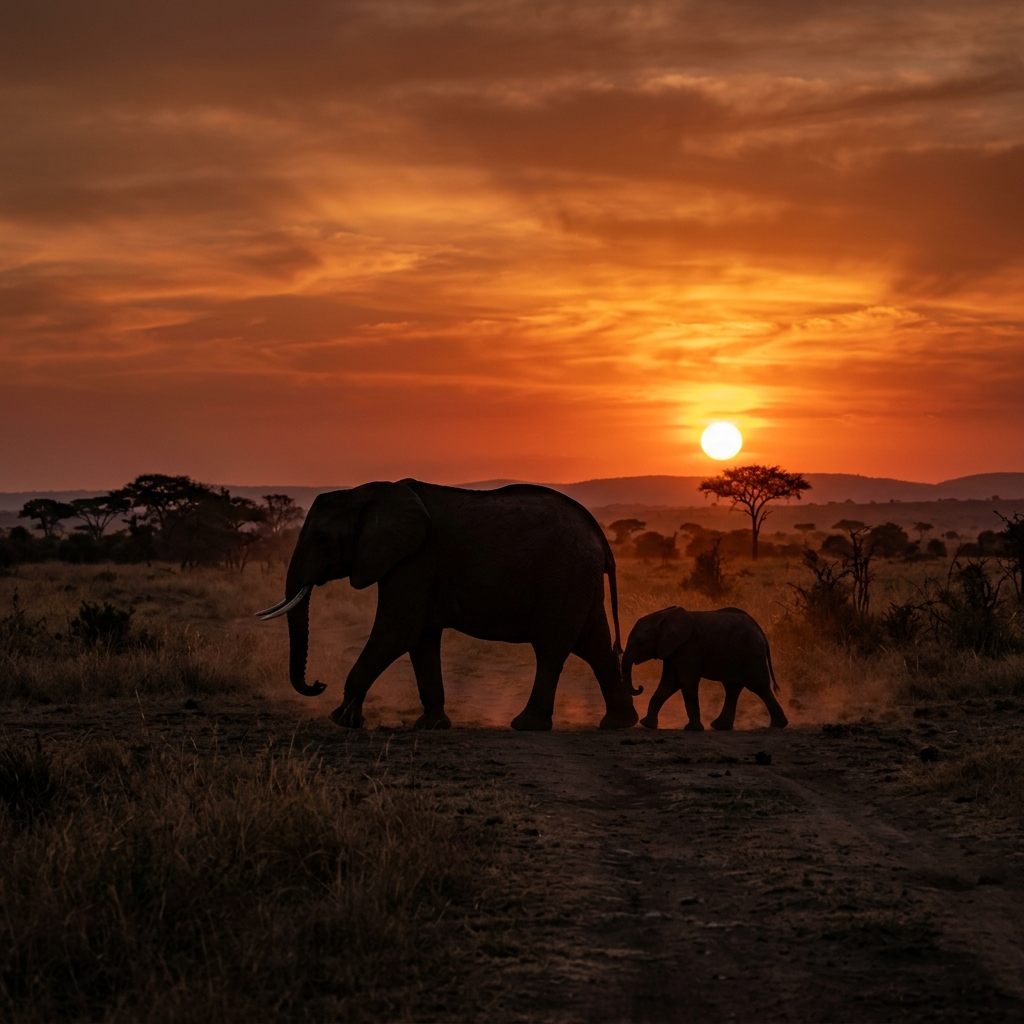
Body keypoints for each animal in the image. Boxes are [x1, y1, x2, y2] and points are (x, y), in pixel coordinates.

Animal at [255, 480, 638, 732]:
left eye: (321, 539)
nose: (318, 683)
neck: (367, 492)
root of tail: (600, 538)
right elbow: (421, 640)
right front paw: (431, 725)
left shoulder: (414, 560)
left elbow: (397, 633)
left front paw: (342, 721)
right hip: (579, 579)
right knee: (594, 645)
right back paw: (618, 724)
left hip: (564, 576)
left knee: (551, 648)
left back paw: (527, 725)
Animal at [621, 606, 788, 731]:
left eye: (640, 642)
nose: (640, 687)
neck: (662, 616)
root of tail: (760, 629)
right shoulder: (675, 650)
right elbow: (669, 683)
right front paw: (647, 725)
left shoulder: (689, 646)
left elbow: (686, 682)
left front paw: (692, 729)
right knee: (732, 688)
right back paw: (720, 727)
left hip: (752, 652)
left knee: (758, 686)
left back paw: (777, 726)